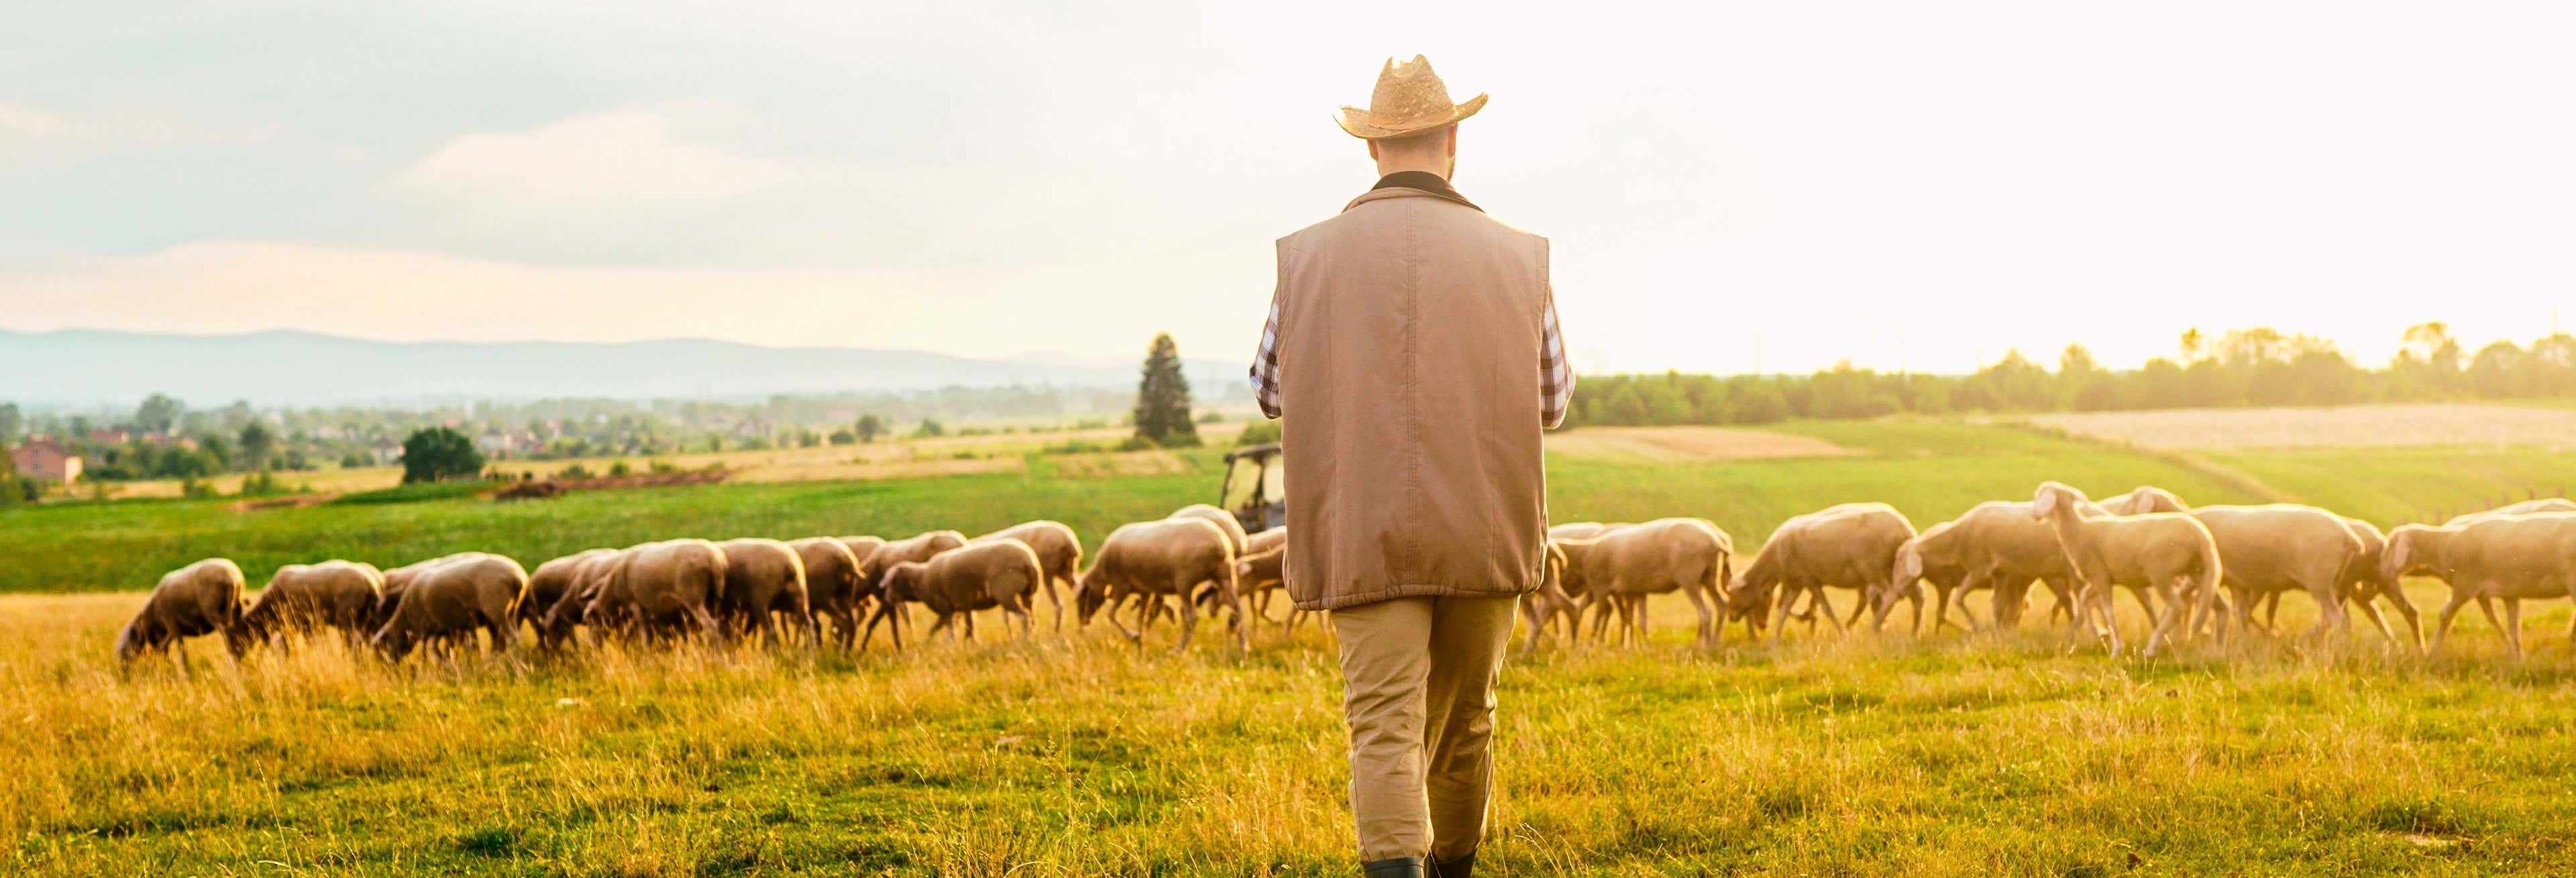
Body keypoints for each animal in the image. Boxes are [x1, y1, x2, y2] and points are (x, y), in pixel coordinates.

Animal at [118, 556, 251, 659]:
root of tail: (233, 578)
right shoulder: (171, 631)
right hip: (236, 610)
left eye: (130, 640)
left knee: (229, 639)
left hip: (214, 613)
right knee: (238, 636)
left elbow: (178, 652)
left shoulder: (171, 624)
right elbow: (165, 650)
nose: (124, 669)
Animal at [241, 556, 384, 646]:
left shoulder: (294, 623)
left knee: (353, 642)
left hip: (347, 616)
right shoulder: (310, 624)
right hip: (366, 618)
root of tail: (371, 585)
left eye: (238, 635)